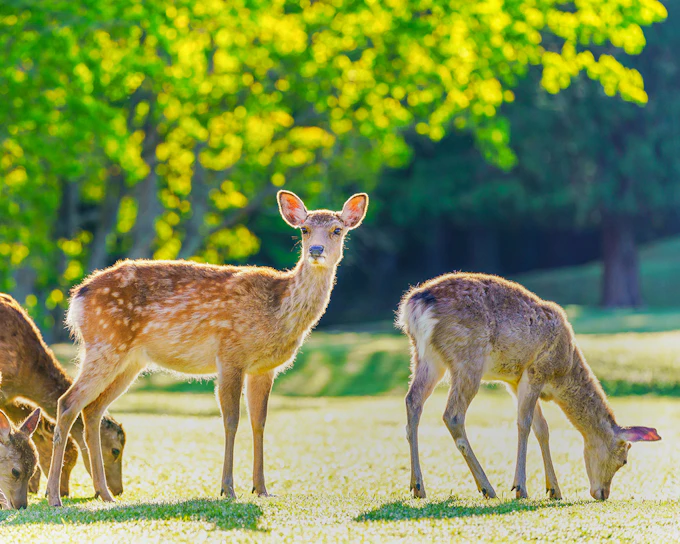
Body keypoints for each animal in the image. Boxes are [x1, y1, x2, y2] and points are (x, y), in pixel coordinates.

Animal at [45, 190, 369, 507]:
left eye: (337, 230)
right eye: (304, 229)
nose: (315, 250)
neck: (277, 309)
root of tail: (77, 296)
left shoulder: (264, 368)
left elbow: (259, 422)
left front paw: (262, 488)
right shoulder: (230, 354)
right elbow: (231, 420)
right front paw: (228, 489)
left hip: (129, 360)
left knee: (93, 409)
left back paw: (105, 494)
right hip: (105, 343)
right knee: (68, 403)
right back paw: (54, 497)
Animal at [397, 272, 661, 502]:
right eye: (624, 459)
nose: (603, 494)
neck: (562, 373)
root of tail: (415, 304)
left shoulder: (515, 381)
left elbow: (542, 428)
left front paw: (554, 490)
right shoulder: (535, 371)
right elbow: (524, 424)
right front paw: (520, 488)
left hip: (426, 357)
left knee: (412, 400)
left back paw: (417, 486)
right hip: (468, 359)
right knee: (452, 414)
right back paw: (487, 488)